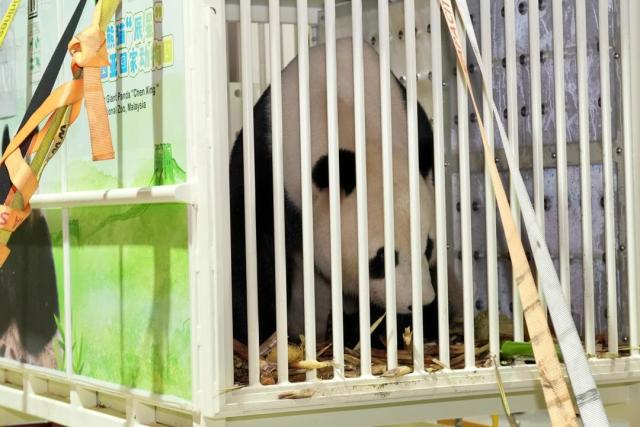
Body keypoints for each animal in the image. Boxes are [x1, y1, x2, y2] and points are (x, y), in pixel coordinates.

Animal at [230, 37, 444, 349]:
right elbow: (251, 244)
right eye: (381, 257)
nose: (420, 303)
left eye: (427, 246)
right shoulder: (267, 160)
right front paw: (258, 331)